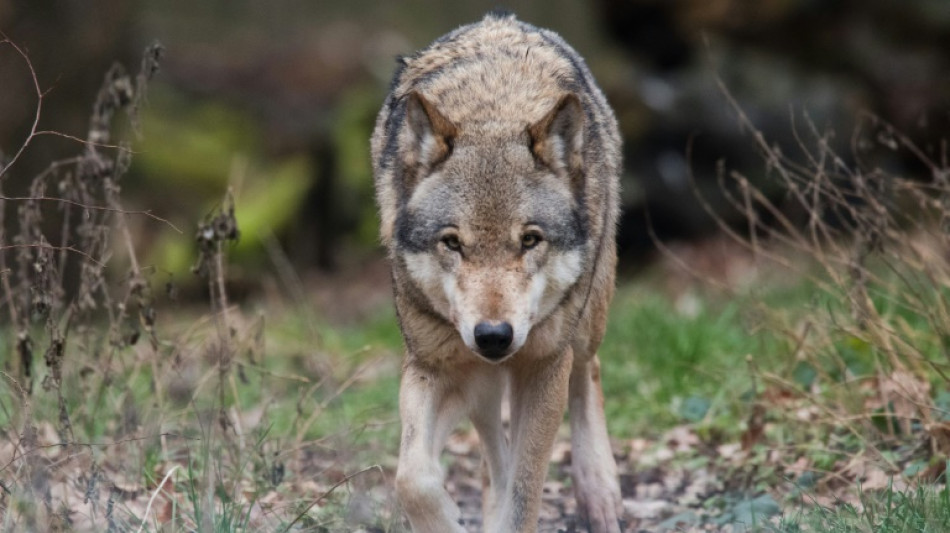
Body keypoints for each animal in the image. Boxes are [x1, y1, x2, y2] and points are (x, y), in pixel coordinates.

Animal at [371, 11, 623, 533]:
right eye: (452, 242)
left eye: (529, 240)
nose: (493, 335)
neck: (494, 110)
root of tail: (501, 19)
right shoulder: (433, 364)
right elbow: (412, 478)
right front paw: (446, 518)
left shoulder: (544, 366)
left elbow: (525, 495)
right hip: (480, 381)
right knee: (493, 451)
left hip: (584, 323)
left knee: (588, 370)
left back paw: (600, 494)